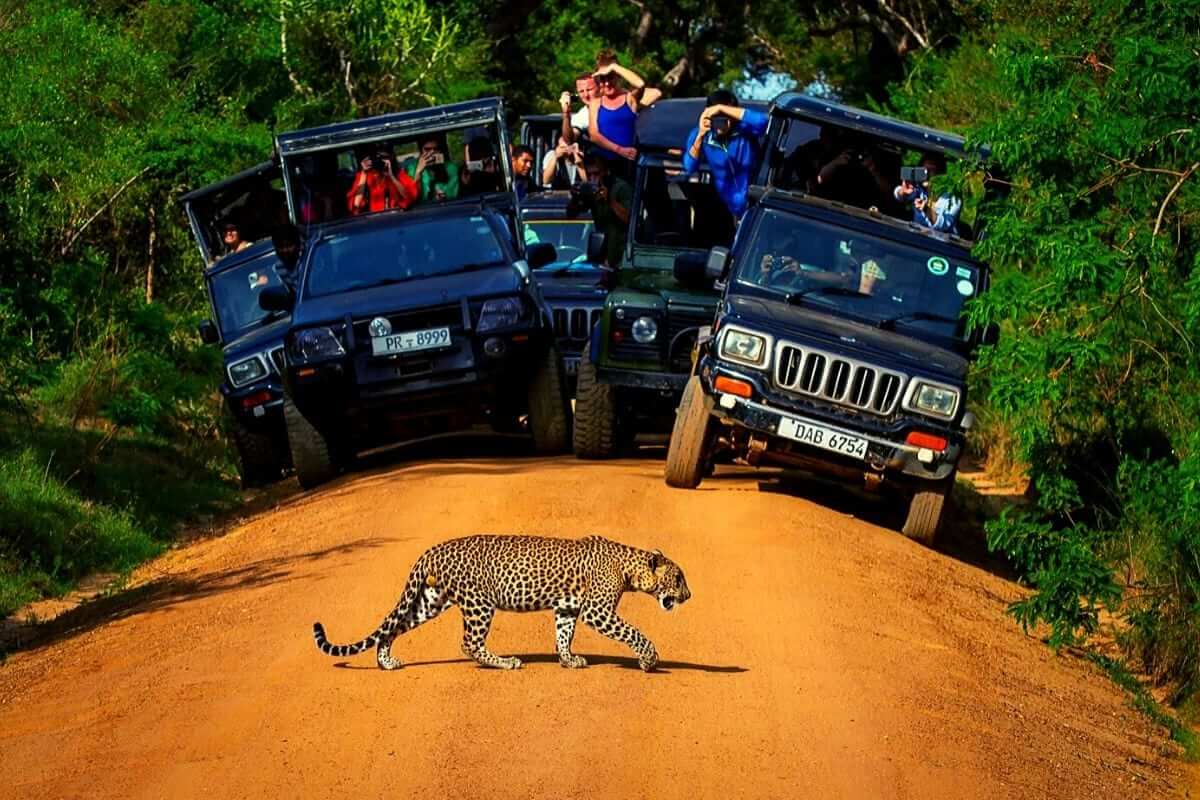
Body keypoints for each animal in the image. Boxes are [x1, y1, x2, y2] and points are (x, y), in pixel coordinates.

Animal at [312, 534, 696, 671]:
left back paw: (387, 662)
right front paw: (649, 660)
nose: (690, 596)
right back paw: (505, 662)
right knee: (469, 642)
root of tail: (432, 549)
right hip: (479, 604)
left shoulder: (567, 608)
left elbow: (563, 635)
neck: (631, 568)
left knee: (393, 626)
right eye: (678, 578)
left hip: (431, 600)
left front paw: (568, 660)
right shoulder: (596, 611)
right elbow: (634, 633)